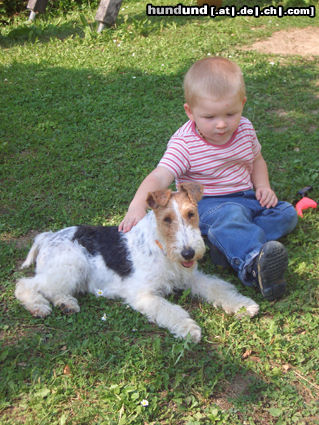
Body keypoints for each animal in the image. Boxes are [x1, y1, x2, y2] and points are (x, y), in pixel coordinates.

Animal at [15, 182, 260, 342]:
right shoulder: (143, 294)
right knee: (25, 285)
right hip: (71, 265)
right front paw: (189, 329)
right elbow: (171, 310)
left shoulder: (191, 278)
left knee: (54, 290)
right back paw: (39, 307)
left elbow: (217, 288)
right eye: (167, 219)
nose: (189, 253)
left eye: (191, 214)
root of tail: (47, 237)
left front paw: (243, 305)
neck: (161, 247)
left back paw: (67, 304)